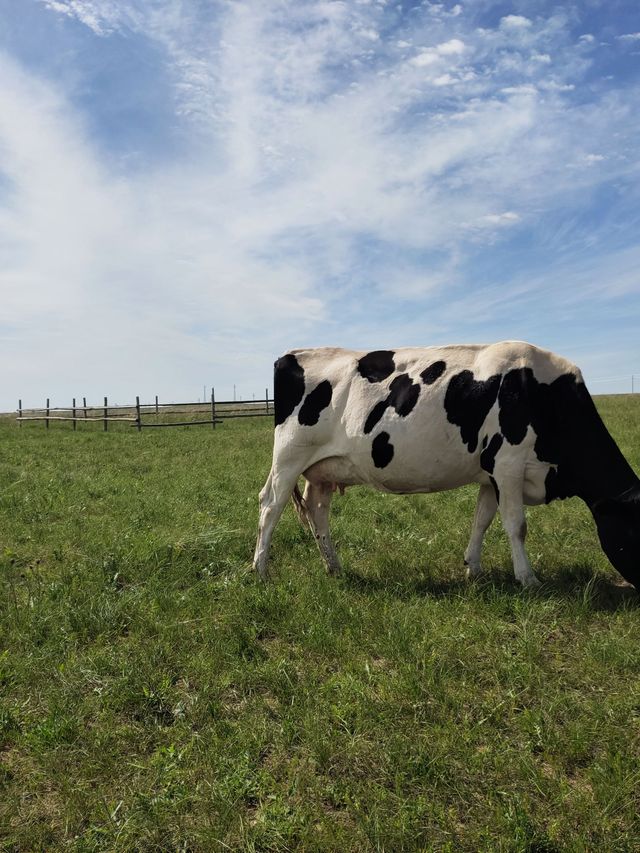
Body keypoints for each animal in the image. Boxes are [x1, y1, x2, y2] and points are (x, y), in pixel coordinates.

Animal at [252, 340, 636, 584]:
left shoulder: (490, 474)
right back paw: (259, 571)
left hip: (322, 470)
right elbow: (517, 525)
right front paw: (528, 579)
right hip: (289, 456)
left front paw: (473, 570)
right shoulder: (508, 464)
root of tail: (292, 353)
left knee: (317, 512)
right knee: (270, 506)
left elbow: (482, 521)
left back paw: (334, 568)